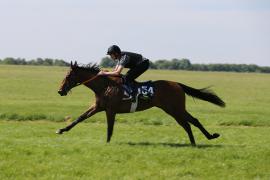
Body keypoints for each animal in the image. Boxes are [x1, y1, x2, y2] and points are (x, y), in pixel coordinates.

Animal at [57, 61, 226, 146]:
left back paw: (204, 139)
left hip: (174, 109)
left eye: (68, 76)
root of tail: (177, 84)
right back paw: (198, 141)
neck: (105, 86)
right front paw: (61, 130)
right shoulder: (98, 107)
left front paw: (107, 142)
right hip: (174, 109)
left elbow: (110, 128)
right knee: (189, 123)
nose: (60, 91)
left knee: (190, 122)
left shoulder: (110, 110)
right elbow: (80, 118)